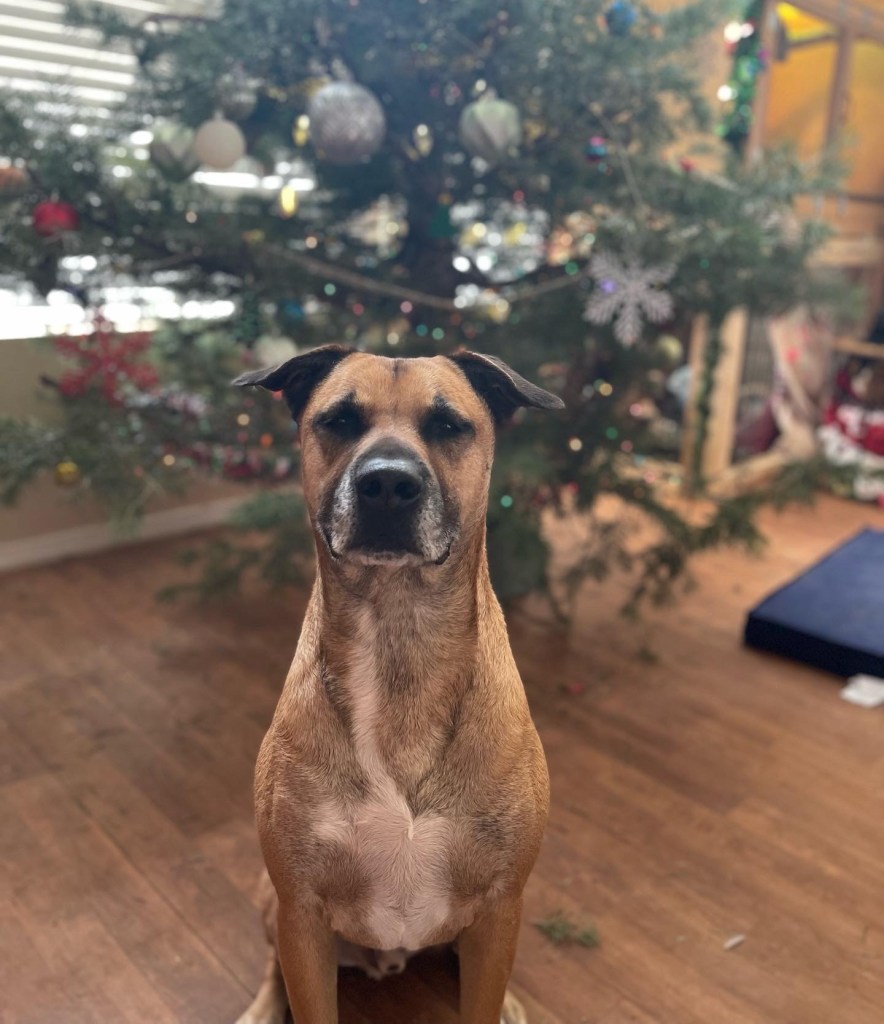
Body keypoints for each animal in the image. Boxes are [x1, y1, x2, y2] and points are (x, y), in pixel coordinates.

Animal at [232, 346, 562, 1024]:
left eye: (448, 425)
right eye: (339, 420)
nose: (387, 483)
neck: (399, 636)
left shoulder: (500, 908)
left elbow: (482, 999)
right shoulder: (300, 913)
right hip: (272, 903)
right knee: (274, 968)